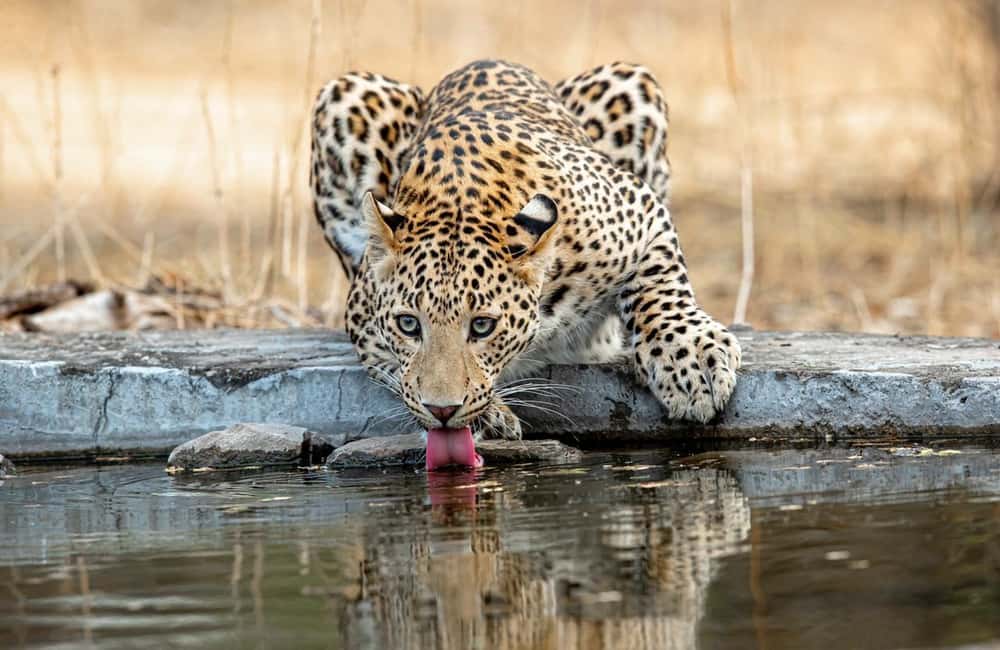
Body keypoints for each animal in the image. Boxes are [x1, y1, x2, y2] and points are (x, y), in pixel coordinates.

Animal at [310, 60, 741, 456]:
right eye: (408, 324)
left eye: (482, 326)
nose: (442, 411)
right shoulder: (362, 315)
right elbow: (398, 372)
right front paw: (488, 416)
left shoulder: (639, 207)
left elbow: (660, 283)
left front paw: (692, 361)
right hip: (344, 94)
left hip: (631, 83)